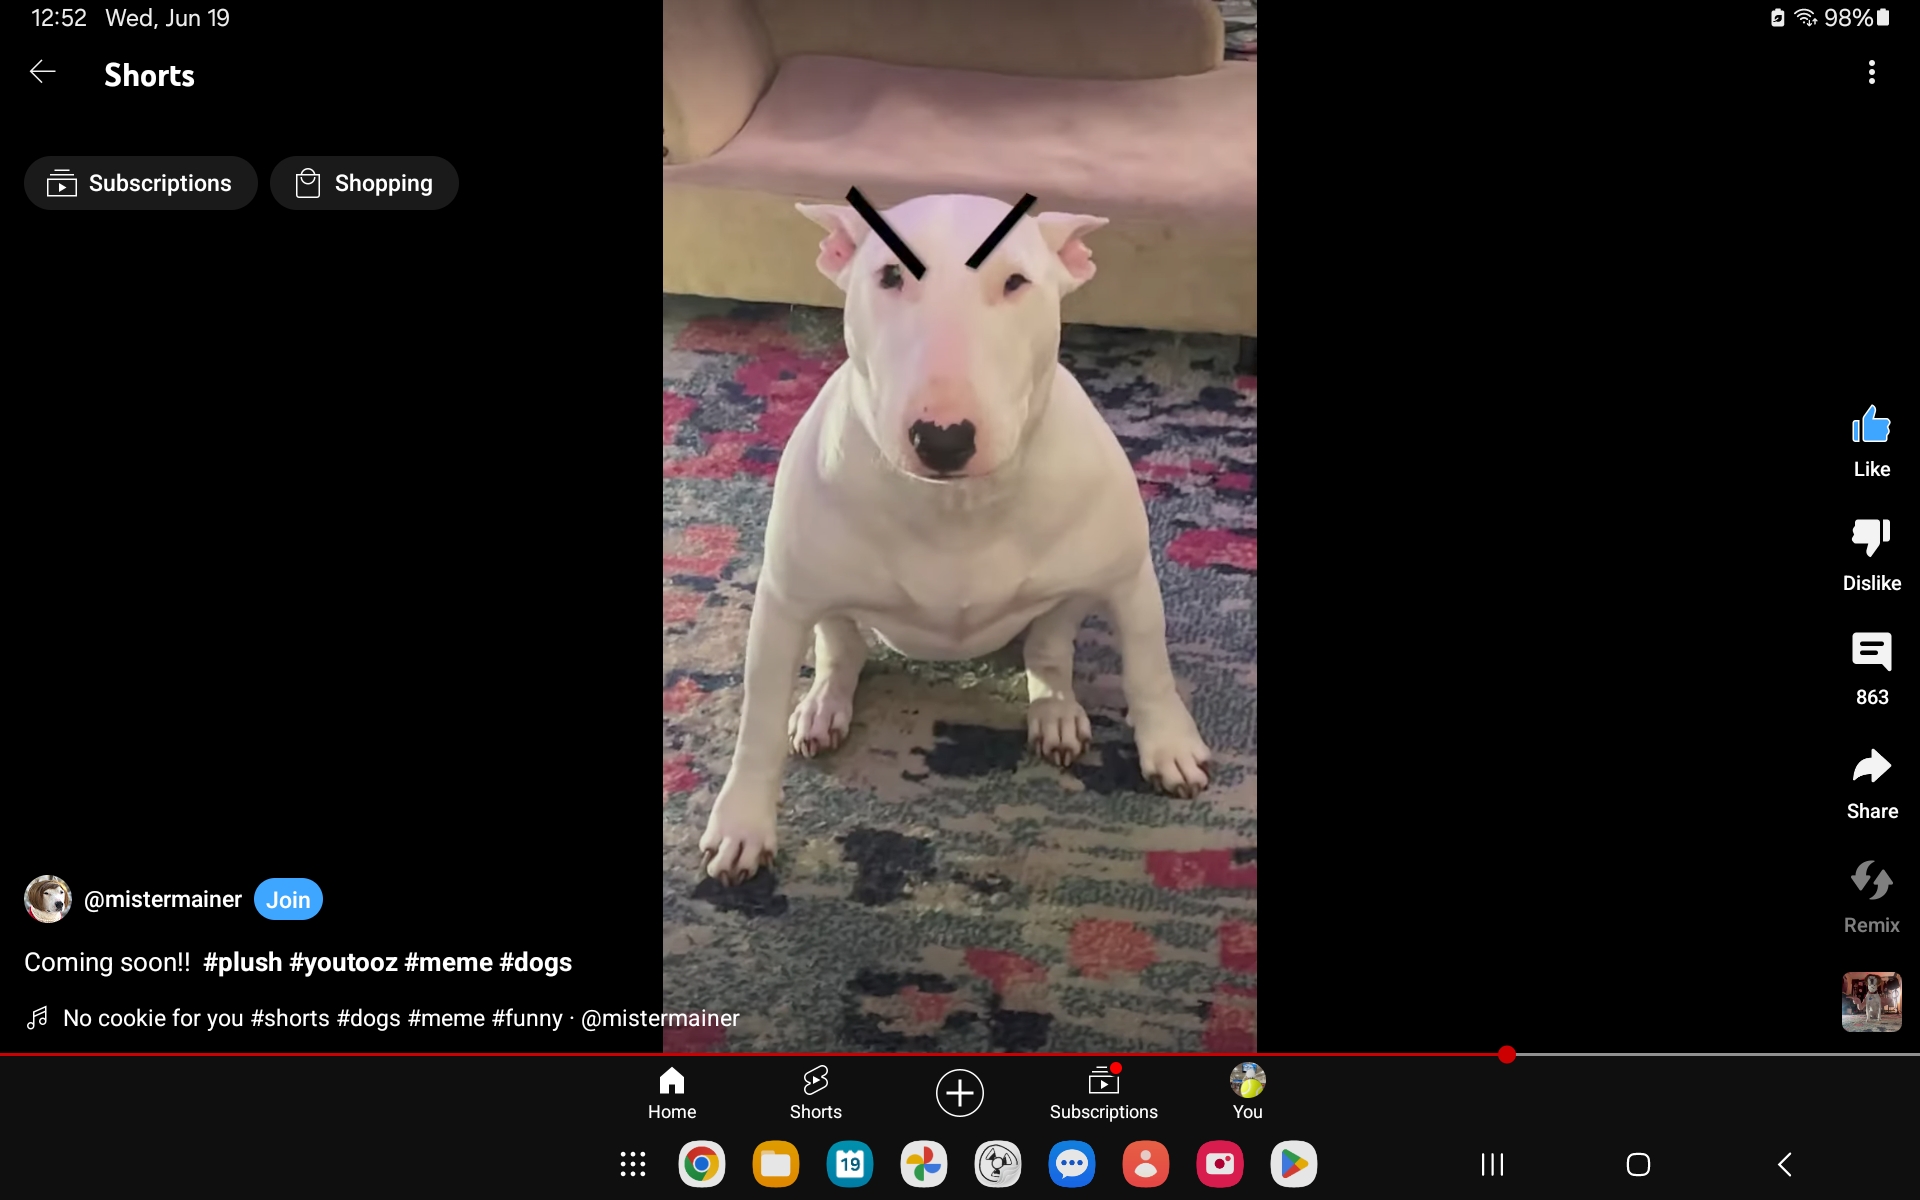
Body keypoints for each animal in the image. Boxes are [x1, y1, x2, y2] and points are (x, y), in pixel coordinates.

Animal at [697, 193, 1212, 883]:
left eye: (1016, 282)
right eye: (889, 275)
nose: (943, 438)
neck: (957, 507)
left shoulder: (1129, 576)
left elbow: (1149, 668)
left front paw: (1171, 748)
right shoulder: (782, 601)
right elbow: (756, 718)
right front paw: (741, 826)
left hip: (1068, 599)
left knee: (1049, 647)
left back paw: (1055, 710)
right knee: (840, 646)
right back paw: (823, 706)